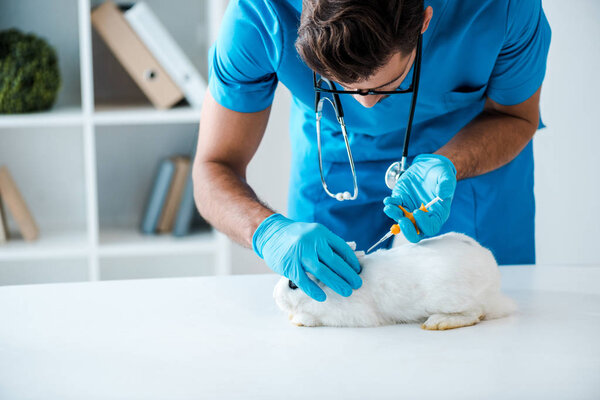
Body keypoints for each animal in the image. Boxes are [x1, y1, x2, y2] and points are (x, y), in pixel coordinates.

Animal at [274, 233, 512, 330]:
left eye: (293, 284)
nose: (275, 296)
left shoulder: (350, 315)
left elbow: (316, 318)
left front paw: (299, 319)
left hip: (450, 299)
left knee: (476, 313)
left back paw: (438, 323)